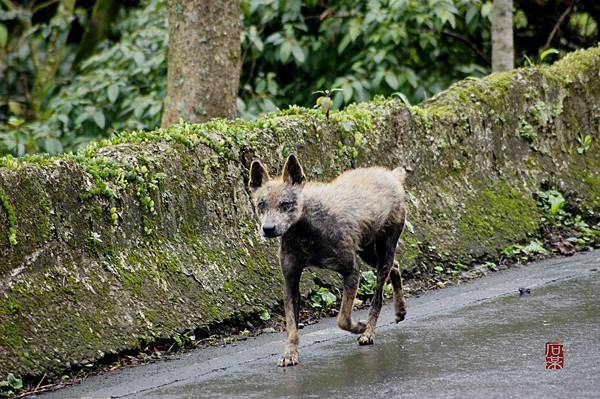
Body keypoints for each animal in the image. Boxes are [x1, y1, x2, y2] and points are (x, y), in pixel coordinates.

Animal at [247, 155, 408, 368]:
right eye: (261, 204)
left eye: (285, 204)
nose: (268, 229)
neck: (305, 229)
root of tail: (392, 176)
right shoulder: (290, 281)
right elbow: (291, 326)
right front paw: (290, 353)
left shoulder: (352, 269)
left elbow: (342, 318)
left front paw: (359, 326)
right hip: (367, 252)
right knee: (395, 266)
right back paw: (400, 310)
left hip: (383, 250)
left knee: (378, 298)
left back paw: (369, 332)